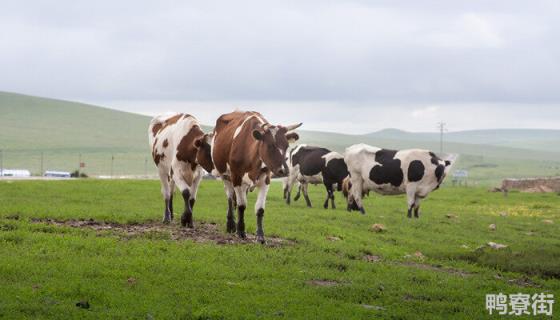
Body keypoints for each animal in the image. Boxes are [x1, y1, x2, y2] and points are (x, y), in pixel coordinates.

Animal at [212, 111, 302, 244]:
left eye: (286, 146)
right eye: (270, 146)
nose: (284, 170)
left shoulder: (266, 180)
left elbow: (259, 209)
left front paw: (260, 236)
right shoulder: (236, 178)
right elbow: (242, 205)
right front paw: (241, 231)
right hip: (225, 175)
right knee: (230, 197)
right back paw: (231, 225)